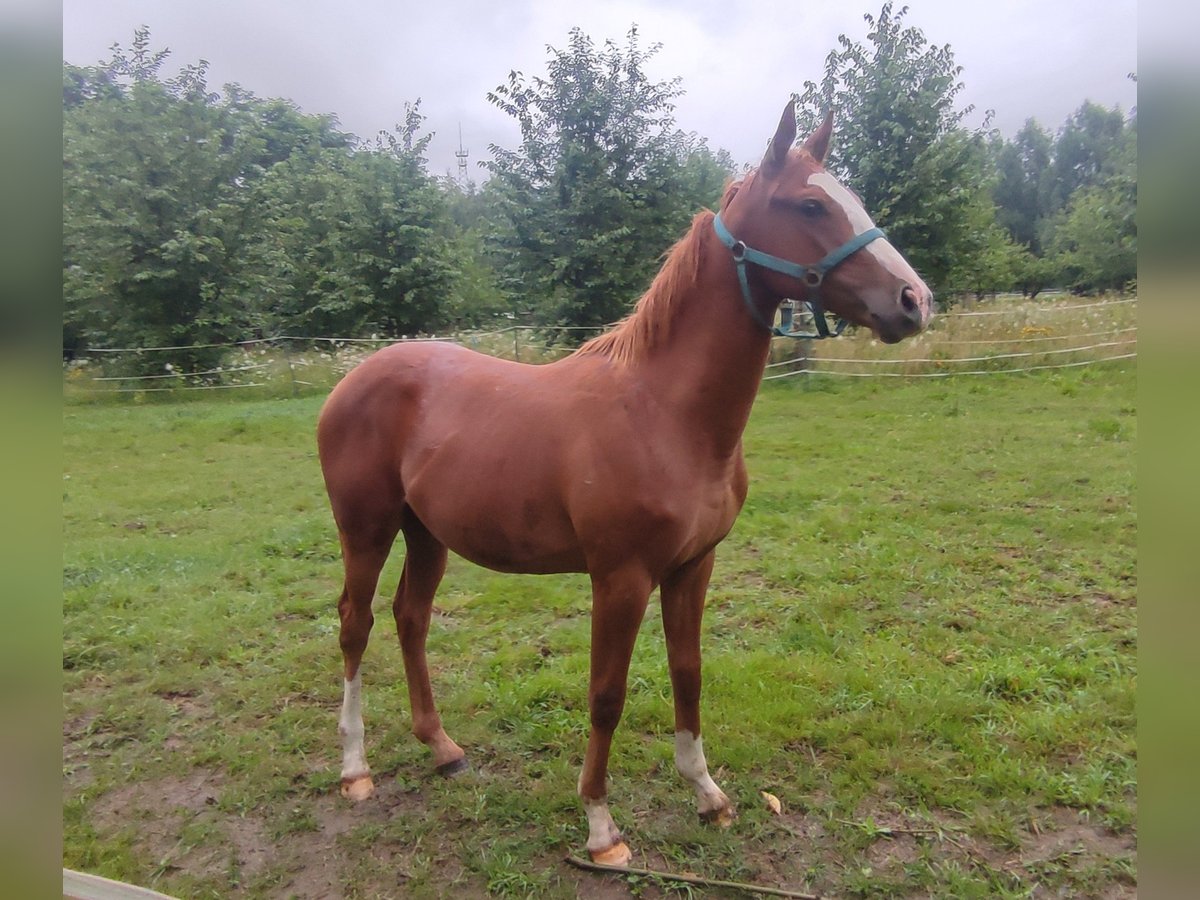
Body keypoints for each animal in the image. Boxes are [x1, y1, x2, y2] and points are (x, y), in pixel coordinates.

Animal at [314, 100, 931, 868]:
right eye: (811, 204)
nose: (915, 300)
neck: (664, 413)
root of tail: (355, 377)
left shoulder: (694, 567)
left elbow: (688, 672)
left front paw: (708, 796)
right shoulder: (621, 577)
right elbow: (606, 694)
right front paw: (602, 828)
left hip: (427, 534)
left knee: (410, 619)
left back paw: (443, 749)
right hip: (366, 530)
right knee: (355, 624)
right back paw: (355, 770)